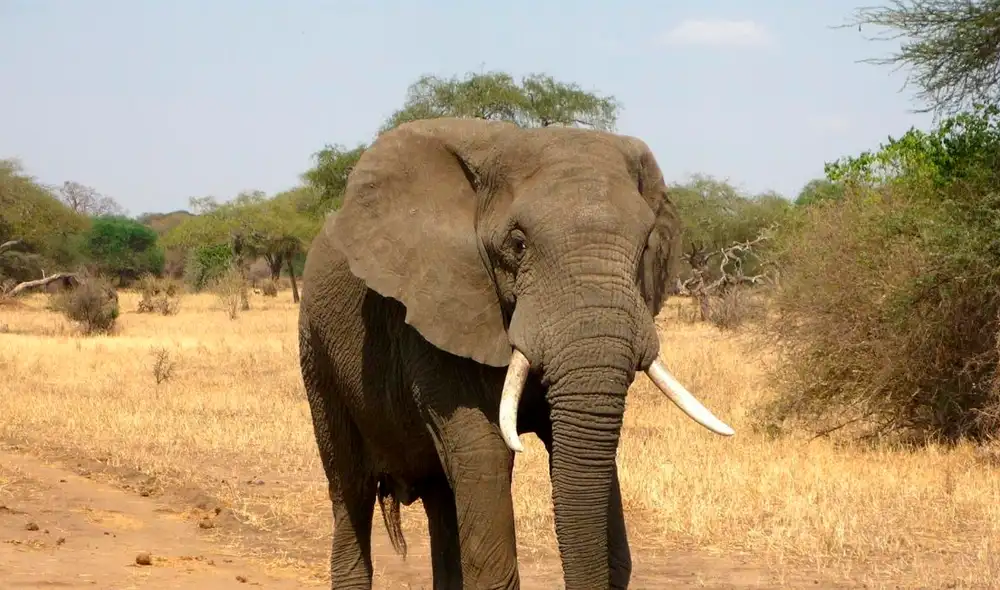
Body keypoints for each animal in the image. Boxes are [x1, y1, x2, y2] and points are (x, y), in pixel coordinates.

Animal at [297, 117, 735, 590]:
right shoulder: (437, 309)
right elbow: (485, 452)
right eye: (518, 244)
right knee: (350, 490)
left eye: (645, 248)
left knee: (440, 498)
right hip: (316, 354)